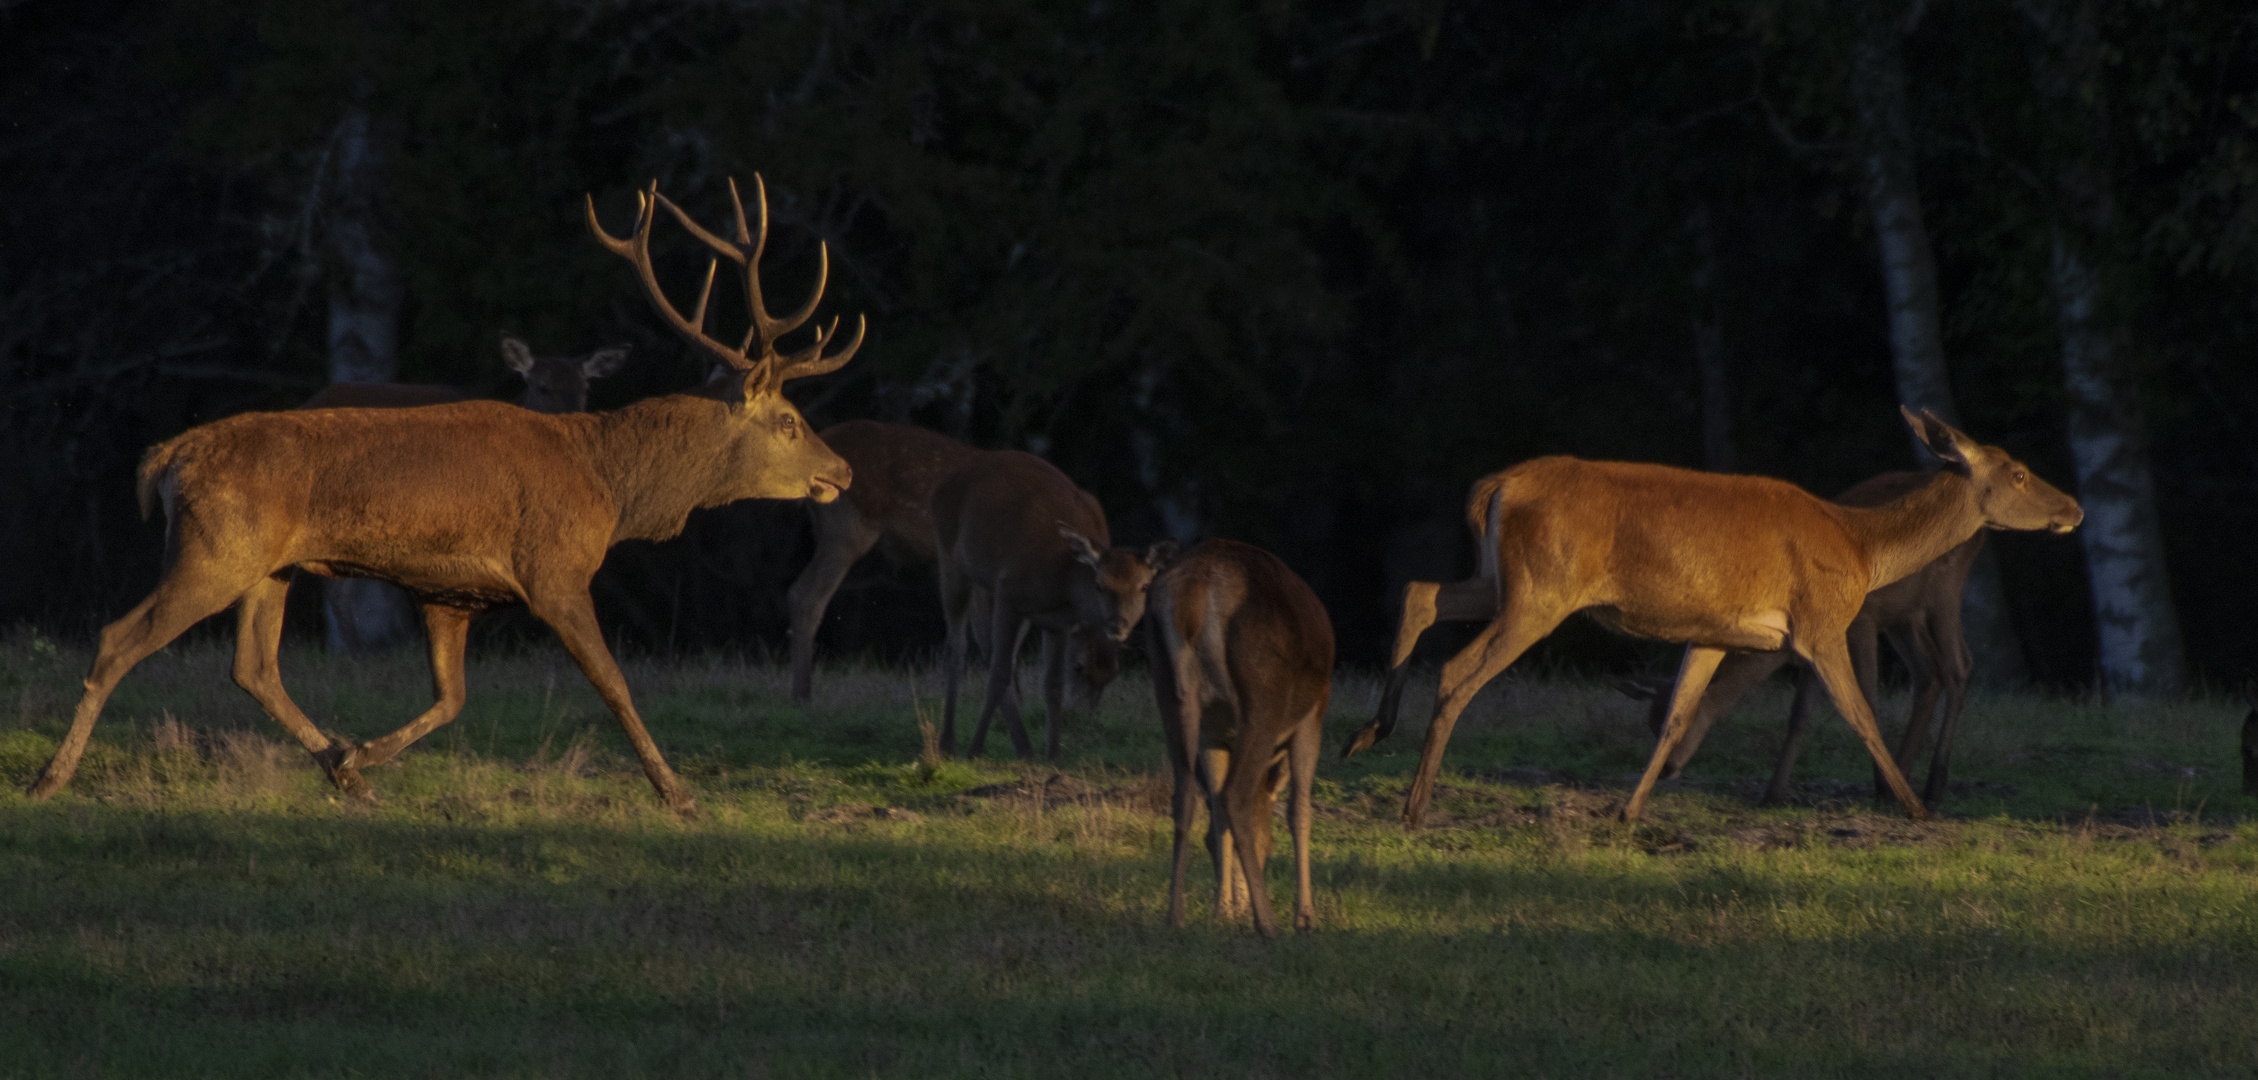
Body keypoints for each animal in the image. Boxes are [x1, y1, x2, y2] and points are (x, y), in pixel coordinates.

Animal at [28, 177, 862, 813]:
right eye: (789, 421)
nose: (844, 472)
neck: (610, 484)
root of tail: (166, 458)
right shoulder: (555, 569)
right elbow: (615, 685)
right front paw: (679, 794)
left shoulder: (449, 592)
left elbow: (452, 698)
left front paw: (356, 756)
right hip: (213, 550)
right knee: (119, 638)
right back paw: (50, 777)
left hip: (268, 566)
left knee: (253, 667)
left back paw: (345, 773)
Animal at [934, 451, 1174, 763]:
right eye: (1099, 585)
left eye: (1144, 586)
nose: (1118, 624)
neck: (1065, 581)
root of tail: (942, 485)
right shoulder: (1009, 593)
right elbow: (998, 675)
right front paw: (974, 750)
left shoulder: (1058, 622)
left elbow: (1052, 685)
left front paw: (1053, 755)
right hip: (950, 558)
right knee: (959, 646)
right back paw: (947, 743)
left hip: (991, 589)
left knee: (993, 649)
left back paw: (1024, 748)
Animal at [1138, 540, 1327, 935]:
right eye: (1269, 847)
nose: (1240, 906)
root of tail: (1194, 592)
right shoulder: (1314, 713)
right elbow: (1300, 811)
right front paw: (1305, 916)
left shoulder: (1214, 732)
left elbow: (1216, 820)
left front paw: (1221, 909)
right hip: (1262, 691)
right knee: (1234, 795)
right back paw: (1268, 922)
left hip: (1169, 688)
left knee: (1186, 794)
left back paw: (1175, 916)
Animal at [1336, 406, 2077, 826]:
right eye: (2016, 473)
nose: (2072, 507)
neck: (1862, 549)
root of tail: (1499, 484)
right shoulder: (1822, 619)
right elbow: (1860, 712)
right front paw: (1916, 808)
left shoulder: (1716, 632)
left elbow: (1678, 717)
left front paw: (1629, 812)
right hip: (1541, 590)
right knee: (1459, 670)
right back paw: (1414, 806)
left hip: (1504, 581)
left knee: (1420, 592)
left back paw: (1367, 735)